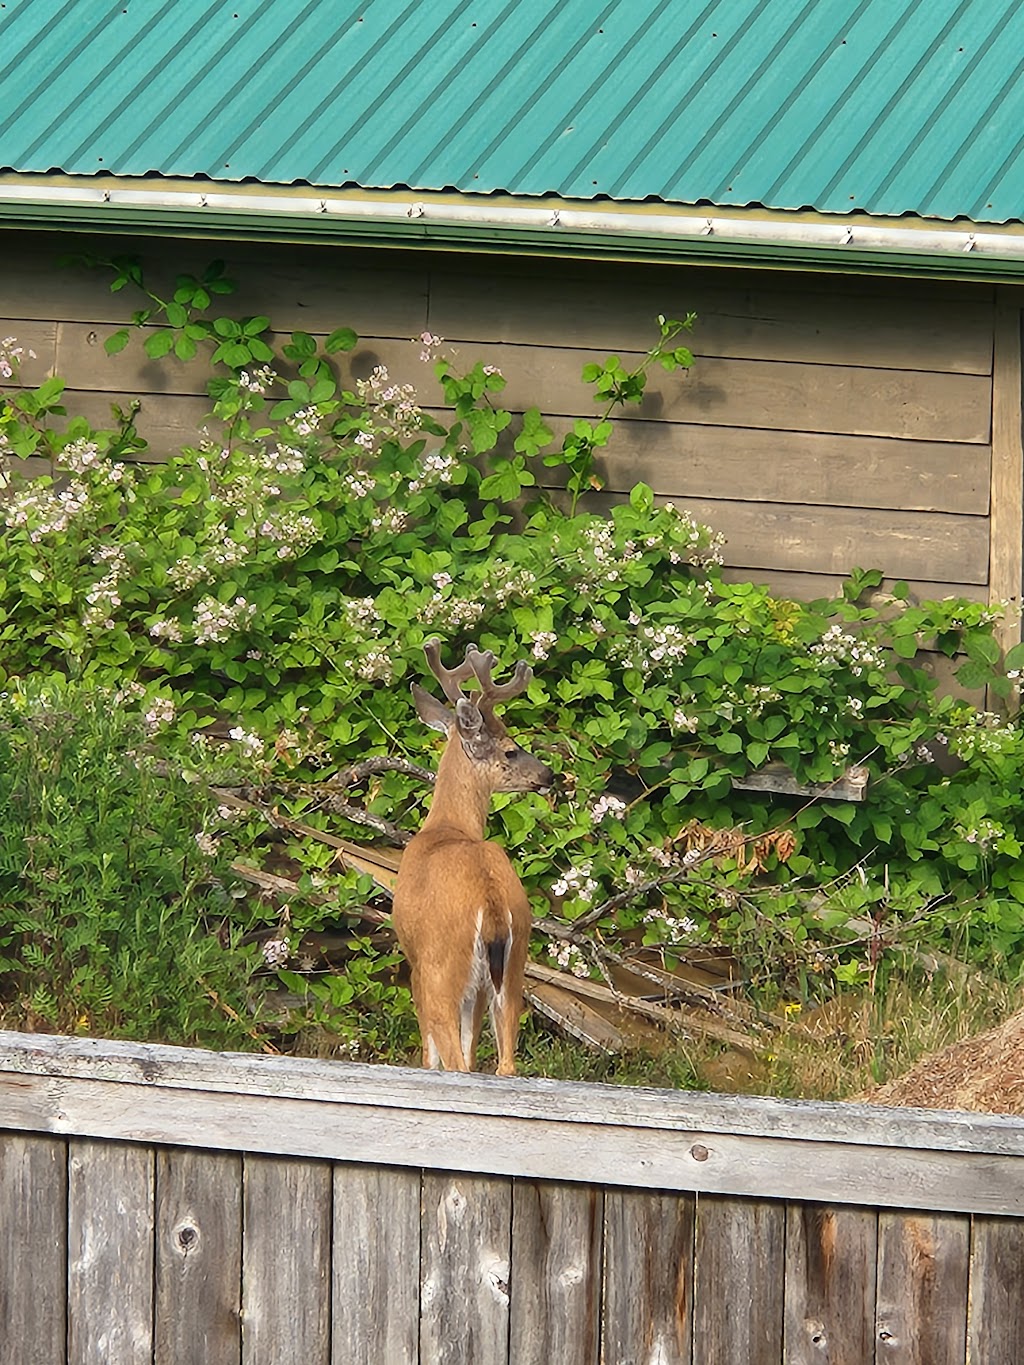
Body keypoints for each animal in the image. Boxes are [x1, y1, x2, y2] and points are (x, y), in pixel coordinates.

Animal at [390, 638, 554, 1075]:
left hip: (444, 966)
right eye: (512, 751)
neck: (446, 825)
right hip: (512, 969)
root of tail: (491, 902)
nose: (549, 775)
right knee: (504, 1063)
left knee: (454, 1059)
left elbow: (431, 1053)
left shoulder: (417, 963)